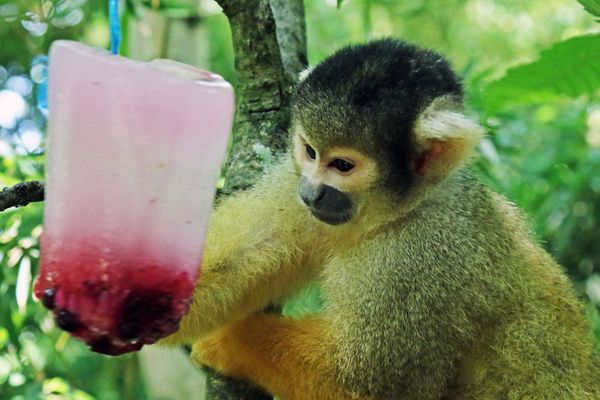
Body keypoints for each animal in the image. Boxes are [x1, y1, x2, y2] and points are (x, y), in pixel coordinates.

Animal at [163, 38, 600, 400]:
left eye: (342, 165)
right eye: (310, 151)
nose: (310, 193)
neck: (394, 215)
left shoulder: (417, 261)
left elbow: (367, 387)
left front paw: (233, 341)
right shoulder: (296, 182)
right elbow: (238, 259)